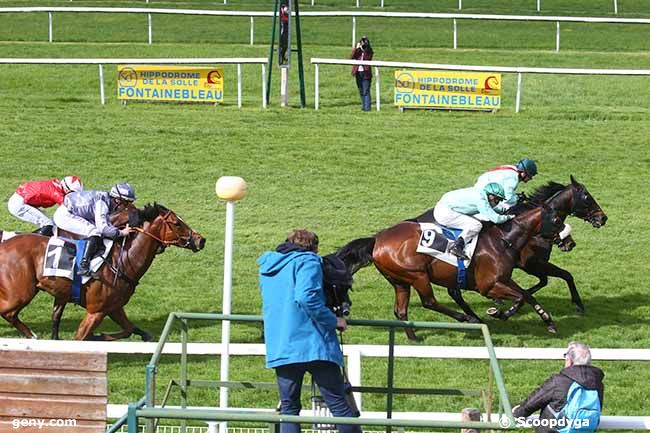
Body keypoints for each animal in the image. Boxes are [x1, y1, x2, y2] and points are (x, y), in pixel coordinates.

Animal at [0, 202, 205, 340]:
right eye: (177, 223)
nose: (200, 240)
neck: (122, 259)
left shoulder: (113, 307)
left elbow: (128, 329)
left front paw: (102, 336)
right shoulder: (96, 311)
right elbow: (80, 337)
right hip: (19, 293)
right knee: (8, 313)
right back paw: (32, 335)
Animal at [336, 201, 564, 340]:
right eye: (556, 220)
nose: (567, 241)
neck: (503, 239)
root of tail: (377, 239)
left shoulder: (504, 279)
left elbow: (527, 295)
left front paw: (549, 321)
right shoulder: (488, 286)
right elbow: (521, 297)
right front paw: (499, 312)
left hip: (399, 280)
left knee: (400, 310)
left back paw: (413, 338)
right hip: (417, 275)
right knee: (429, 302)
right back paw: (467, 318)